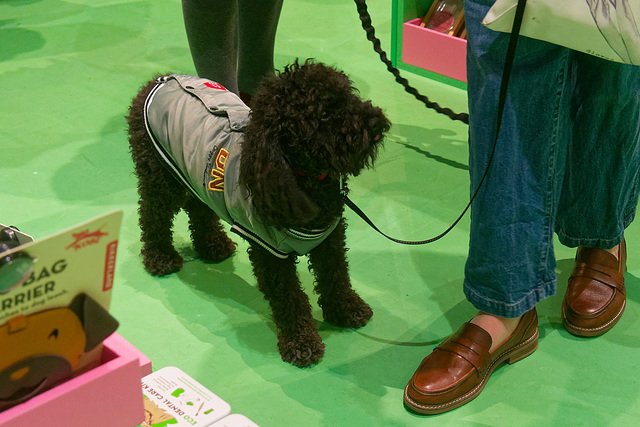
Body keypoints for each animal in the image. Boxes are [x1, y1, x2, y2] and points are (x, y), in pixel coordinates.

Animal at [125, 59, 390, 368]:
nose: (374, 121)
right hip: (159, 177)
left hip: (194, 176)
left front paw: (346, 311)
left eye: (349, 95)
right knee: (152, 215)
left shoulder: (329, 239)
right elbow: (291, 299)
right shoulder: (271, 254)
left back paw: (212, 247)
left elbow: (336, 277)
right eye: (325, 113)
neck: (303, 178)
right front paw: (301, 342)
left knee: (199, 209)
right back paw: (161, 258)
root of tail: (161, 79)